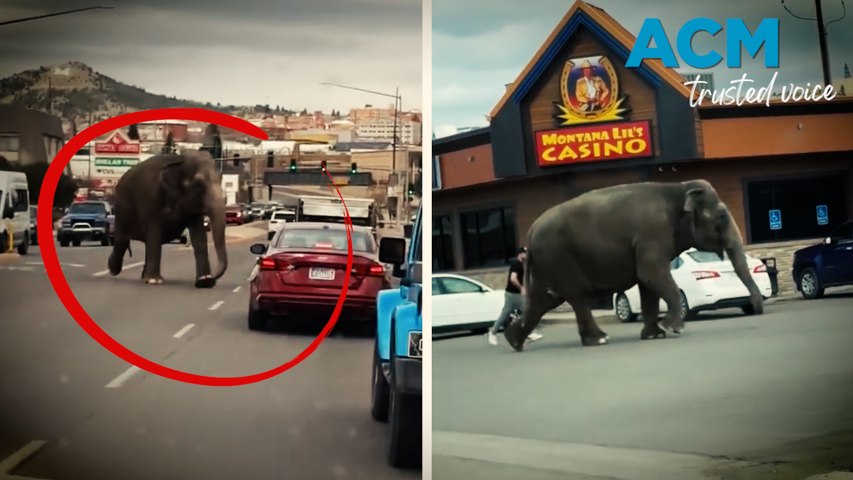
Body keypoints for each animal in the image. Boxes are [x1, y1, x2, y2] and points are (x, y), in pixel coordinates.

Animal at [106, 150, 226, 286]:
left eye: (221, 178)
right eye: (198, 183)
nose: (213, 277)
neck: (180, 159)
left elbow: (199, 235)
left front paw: (204, 280)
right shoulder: (151, 198)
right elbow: (155, 233)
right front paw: (154, 281)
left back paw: (142, 276)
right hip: (121, 208)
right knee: (122, 240)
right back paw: (113, 270)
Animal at [502, 178, 764, 350]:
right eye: (721, 216)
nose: (756, 308)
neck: (678, 187)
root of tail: (530, 233)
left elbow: (647, 284)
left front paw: (654, 335)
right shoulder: (653, 233)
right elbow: (651, 275)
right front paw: (672, 329)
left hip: (547, 262)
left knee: (544, 299)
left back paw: (514, 341)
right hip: (559, 257)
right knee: (577, 296)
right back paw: (599, 339)